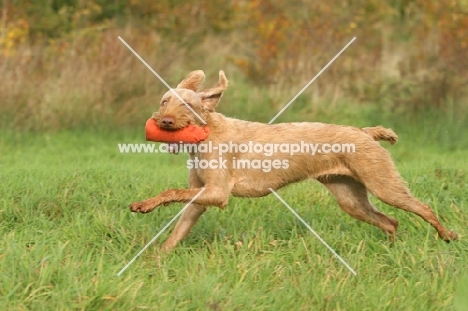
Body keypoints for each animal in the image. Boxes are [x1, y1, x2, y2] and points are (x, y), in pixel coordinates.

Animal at [129, 70, 458, 251]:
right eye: (164, 101)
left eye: (187, 105)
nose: (165, 121)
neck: (207, 133)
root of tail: (364, 132)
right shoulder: (201, 196)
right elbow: (178, 230)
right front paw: (157, 258)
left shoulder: (217, 192)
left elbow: (171, 192)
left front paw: (143, 205)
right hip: (349, 198)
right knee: (391, 222)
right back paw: (390, 250)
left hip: (383, 183)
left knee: (422, 208)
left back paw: (447, 235)